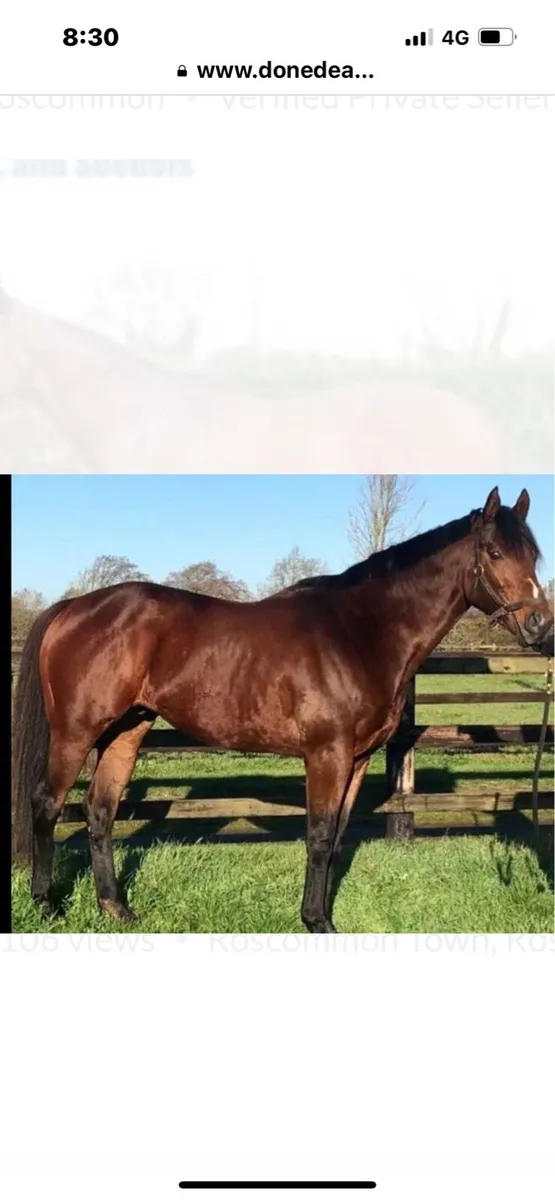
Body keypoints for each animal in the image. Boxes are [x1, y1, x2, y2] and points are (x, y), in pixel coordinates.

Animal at [11, 486, 553, 932]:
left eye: (533, 554)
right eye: (495, 552)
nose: (539, 625)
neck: (361, 632)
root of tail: (73, 606)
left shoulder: (357, 759)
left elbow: (337, 838)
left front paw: (325, 917)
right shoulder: (327, 755)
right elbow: (318, 835)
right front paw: (315, 921)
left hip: (127, 731)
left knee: (100, 811)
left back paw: (116, 908)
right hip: (76, 732)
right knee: (47, 804)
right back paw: (47, 904)